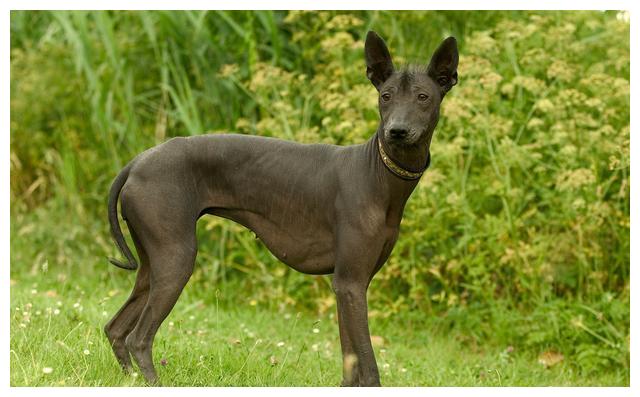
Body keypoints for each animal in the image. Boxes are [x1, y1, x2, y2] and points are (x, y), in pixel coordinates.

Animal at [106, 31, 456, 386]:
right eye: (386, 96)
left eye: (423, 97)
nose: (396, 131)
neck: (378, 174)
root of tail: (138, 162)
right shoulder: (351, 284)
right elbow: (369, 369)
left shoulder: (348, 285)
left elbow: (350, 363)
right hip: (176, 260)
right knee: (139, 338)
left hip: (153, 264)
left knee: (116, 329)